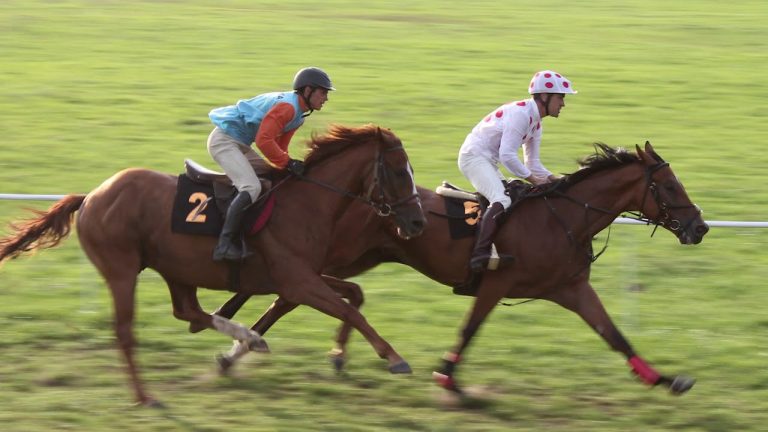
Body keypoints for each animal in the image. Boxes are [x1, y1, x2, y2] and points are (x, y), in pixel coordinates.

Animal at [0, 124, 426, 404]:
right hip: (122, 270)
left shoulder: (301, 276)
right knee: (126, 332)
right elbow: (351, 310)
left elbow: (354, 294)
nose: (418, 223)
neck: (308, 202)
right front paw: (395, 359)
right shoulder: (298, 281)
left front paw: (339, 355)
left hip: (176, 267)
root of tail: (91, 196)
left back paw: (247, 337)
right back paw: (145, 395)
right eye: (398, 170)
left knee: (188, 312)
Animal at [208, 141, 708, 394]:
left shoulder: (571, 288)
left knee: (297, 295)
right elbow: (469, 328)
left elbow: (615, 335)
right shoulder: (495, 283)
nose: (699, 226)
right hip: (336, 254)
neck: (563, 218)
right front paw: (446, 375)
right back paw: (238, 343)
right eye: (668, 186)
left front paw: (665, 379)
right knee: (289, 294)